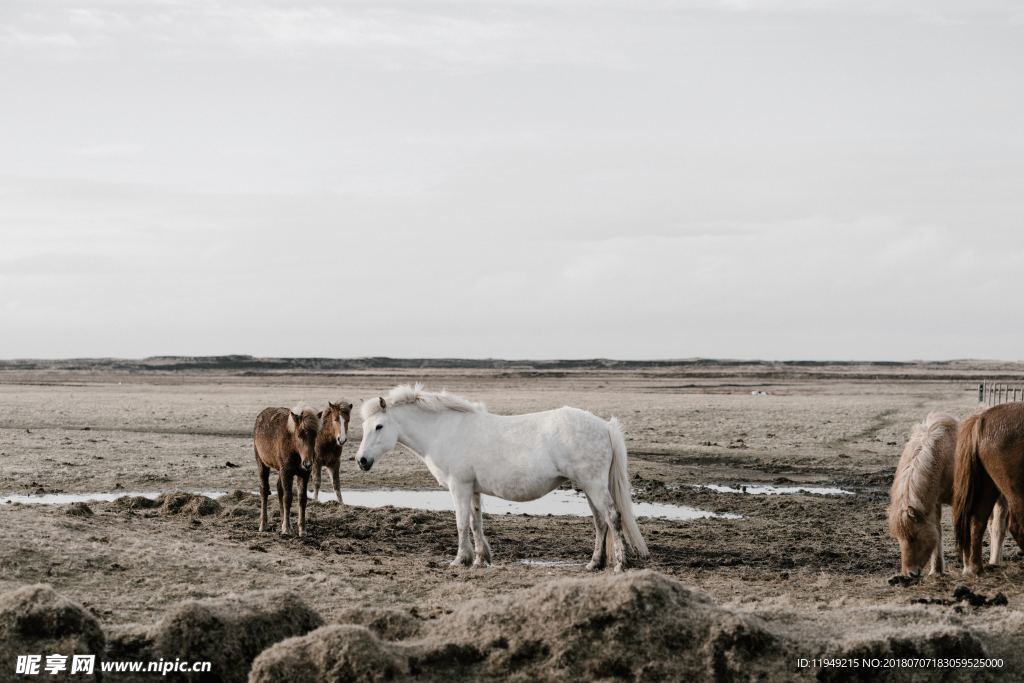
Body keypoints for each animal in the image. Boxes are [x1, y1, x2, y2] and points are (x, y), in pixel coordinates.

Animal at [252, 405, 319, 540]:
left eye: (315, 435)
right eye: (299, 435)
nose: (307, 463)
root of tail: (261, 415)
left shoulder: (303, 474)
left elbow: (302, 499)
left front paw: (302, 530)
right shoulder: (286, 472)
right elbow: (287, 498)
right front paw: (286, 529)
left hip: (280, 470)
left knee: (279, 489)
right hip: (262, 463)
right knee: (264, 489)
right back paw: (263, 525)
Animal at [352, 385, 647, 573]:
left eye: (379, 426)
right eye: (365, 427)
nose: (361, 460)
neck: (443, 430)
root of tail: (605, 426)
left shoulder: (459, 487)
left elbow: (461, 523)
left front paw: (460, 560)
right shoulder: (473, 489)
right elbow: (476, 523)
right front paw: (480, 559)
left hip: (594, 486)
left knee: (613, 517)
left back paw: (620, 564)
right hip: (588, 488)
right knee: (600, 523)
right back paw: (595, 563)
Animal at [888, 413, 1007, 581]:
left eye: (913, 537)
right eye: (899, 538)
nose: (910, 574)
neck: (945, 456)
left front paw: (967, 569)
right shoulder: (935, 504)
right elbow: (938, 532)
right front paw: (936, 570)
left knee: (998, 526)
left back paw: (994, 562)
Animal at [950, 403, 1024, 581]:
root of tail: (982, 419)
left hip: (988, 486)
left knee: (978, 520)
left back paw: (976, 568)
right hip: (1015, 491)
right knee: (1017, 526)